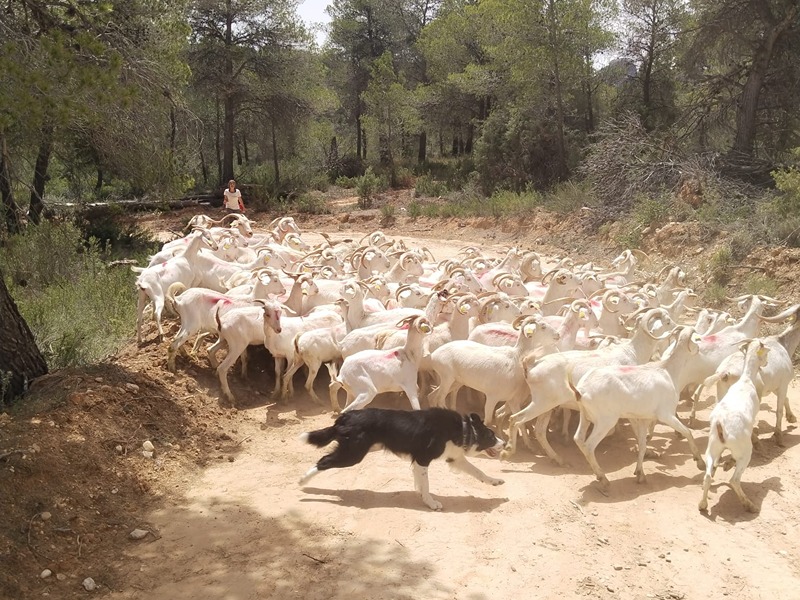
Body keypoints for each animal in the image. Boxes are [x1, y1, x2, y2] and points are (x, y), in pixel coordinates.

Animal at [300, 406, 506, 508]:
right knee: (323, 461)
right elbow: (426, 484)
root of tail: (345, 417)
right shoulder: (423, 459)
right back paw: (303, 481)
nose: (504, 444)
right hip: (353, 454)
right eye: (491, 436)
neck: (464, 429)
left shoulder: (454, 458)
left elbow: (478, 472)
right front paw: (431, 503)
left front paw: (495, 481)